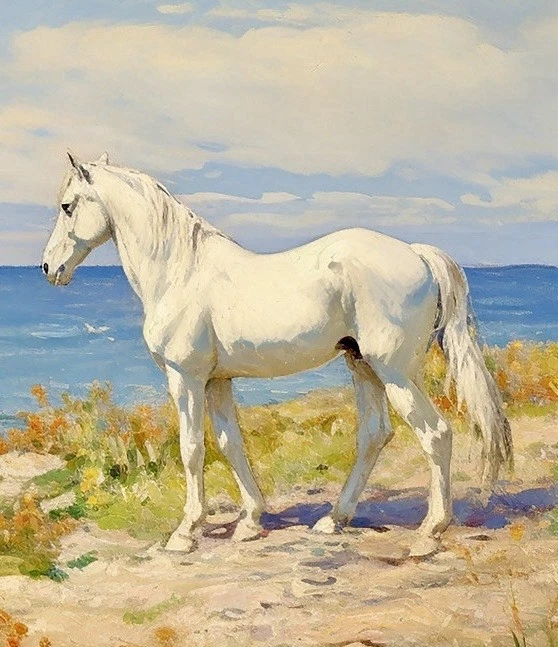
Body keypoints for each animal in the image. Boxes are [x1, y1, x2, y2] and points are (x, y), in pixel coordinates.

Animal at [42, 151, 512, 556]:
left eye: (67, 206)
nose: (49, 268)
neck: (180, 270)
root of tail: (417, 253)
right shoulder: (217, 381)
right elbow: (230, 444)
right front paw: (250, 521)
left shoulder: (185, 378)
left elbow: (191, 448)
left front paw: (185, 533)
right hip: (363, 366)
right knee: (374, 435)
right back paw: (335, 519)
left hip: (395, 373)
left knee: (436, 434)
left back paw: (430, 532)